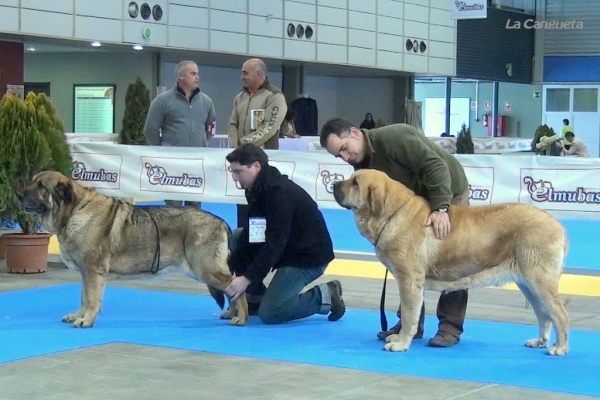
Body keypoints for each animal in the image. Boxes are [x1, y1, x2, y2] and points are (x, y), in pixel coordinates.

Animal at [18, 171, 248, 328]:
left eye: (41, 186)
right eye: (33, 180)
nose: (18, 194)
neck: (74, 211)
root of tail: (221, 222)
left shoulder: (93, 271)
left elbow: (92, 298)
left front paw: (87, 320)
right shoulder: (86, 273)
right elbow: (84, 296)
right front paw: (78, 315)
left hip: (206, 269)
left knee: (237, 287)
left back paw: (242, 318)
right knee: (231, 289)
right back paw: (231, 313)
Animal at [336, 169, 568, 356]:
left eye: (355, 182)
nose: (334, 184)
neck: (393, 213)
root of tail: (559, 226)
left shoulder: (409, 281)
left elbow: (410, 315)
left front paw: (401, 344)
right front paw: (398, 337)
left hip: (539, 281)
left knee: (560, 314)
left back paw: (560, 348)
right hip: (528, 284)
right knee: (544, 315)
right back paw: (540, 341)